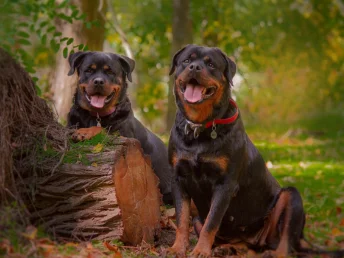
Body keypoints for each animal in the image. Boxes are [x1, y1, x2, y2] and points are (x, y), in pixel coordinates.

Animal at [67, 51, 173, 205]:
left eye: (110, 72)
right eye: (89, 70)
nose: (98, 81)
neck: (96, 115)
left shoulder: (125, 136)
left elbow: (102, 129)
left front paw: (84, 132)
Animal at [167, 44, 344, 258]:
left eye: (210, 64)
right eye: (186, 60)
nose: (194, 67)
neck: (200, 129)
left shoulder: (225, 184)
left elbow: (212, 221)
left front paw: (200, 251)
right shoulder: (178, 178)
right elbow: (181, 218)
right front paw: (178, 247)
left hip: (290, 198)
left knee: (286, 240)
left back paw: (274, 253)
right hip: (201, 220)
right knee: (242, 244)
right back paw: (226, 248)